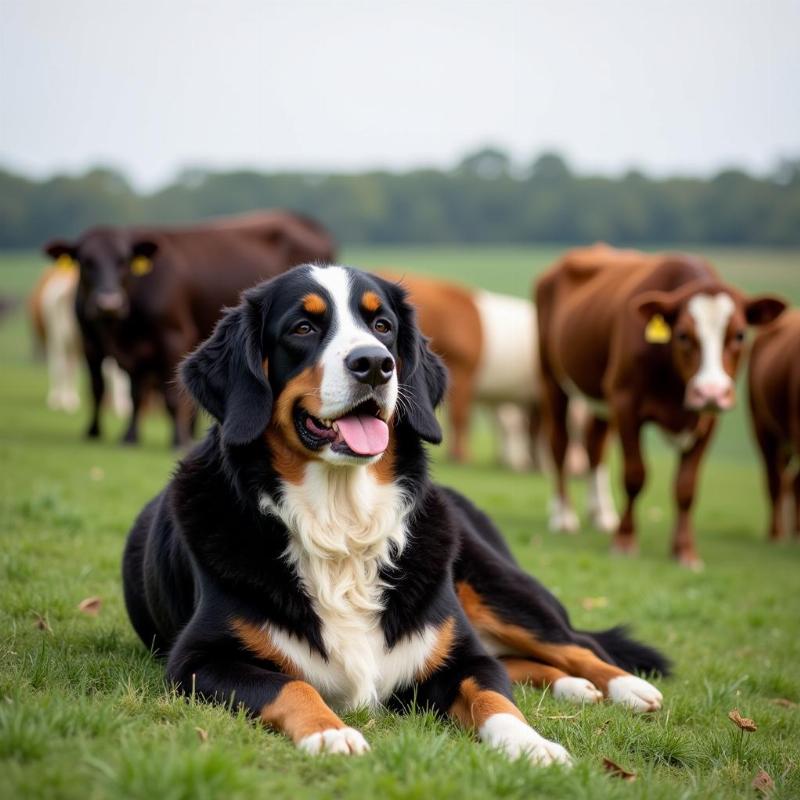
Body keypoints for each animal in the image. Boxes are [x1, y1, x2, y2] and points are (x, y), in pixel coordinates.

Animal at [45, 211, 336, 450]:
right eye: (86, 261)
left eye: (123, 261)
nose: (108, 303)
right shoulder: (96, 344)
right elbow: (126, 392)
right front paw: (124, 436)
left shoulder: (173, 338)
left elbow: (172, 396)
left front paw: (178, 440)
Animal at [120, 262, 668, 764]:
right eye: (302, 328)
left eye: (382, 325)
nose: (374, 364)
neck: (341, 520)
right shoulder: (198, 660)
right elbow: (292, 685)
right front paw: (330, 732)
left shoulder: (463, 656)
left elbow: (495, 698)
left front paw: (533, 745)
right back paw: (576, 687)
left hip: (495, 586)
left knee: (576, 644)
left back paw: (624, 687)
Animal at [536, 247, 784, 564]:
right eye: (682, 335)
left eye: (739, 335)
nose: (711, 391)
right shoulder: (626, 403)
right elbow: (635, 475)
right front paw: (625, 540)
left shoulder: (709, 420)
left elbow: (686, 487)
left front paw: (685, 551)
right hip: (552, 380)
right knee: (560, 445)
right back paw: (563, 516)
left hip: (600, 400)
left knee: (595, 447)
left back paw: (601, 515)